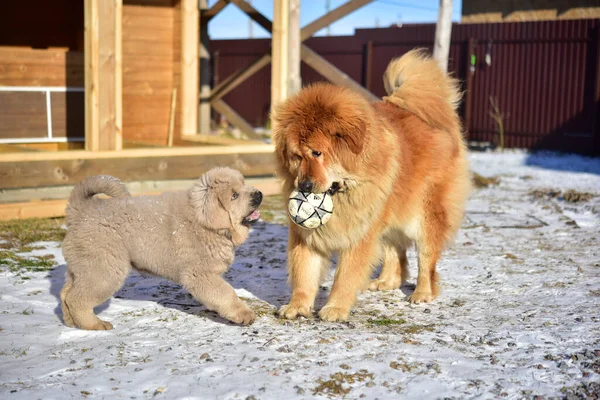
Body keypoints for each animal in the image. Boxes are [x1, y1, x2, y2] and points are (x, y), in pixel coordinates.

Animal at [272, 49, 474, 322]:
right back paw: (386, 282)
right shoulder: (307, 236)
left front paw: (335, 308)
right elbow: (304, 272)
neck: (347, 191)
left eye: (317, 153)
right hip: (388, 215)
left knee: (426, 260)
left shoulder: (360, 234)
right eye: (296, 156)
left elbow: (345, 276)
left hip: (425, 216)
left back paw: (422, 293)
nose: (304, 185)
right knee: (394, 251)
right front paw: (297, 306)